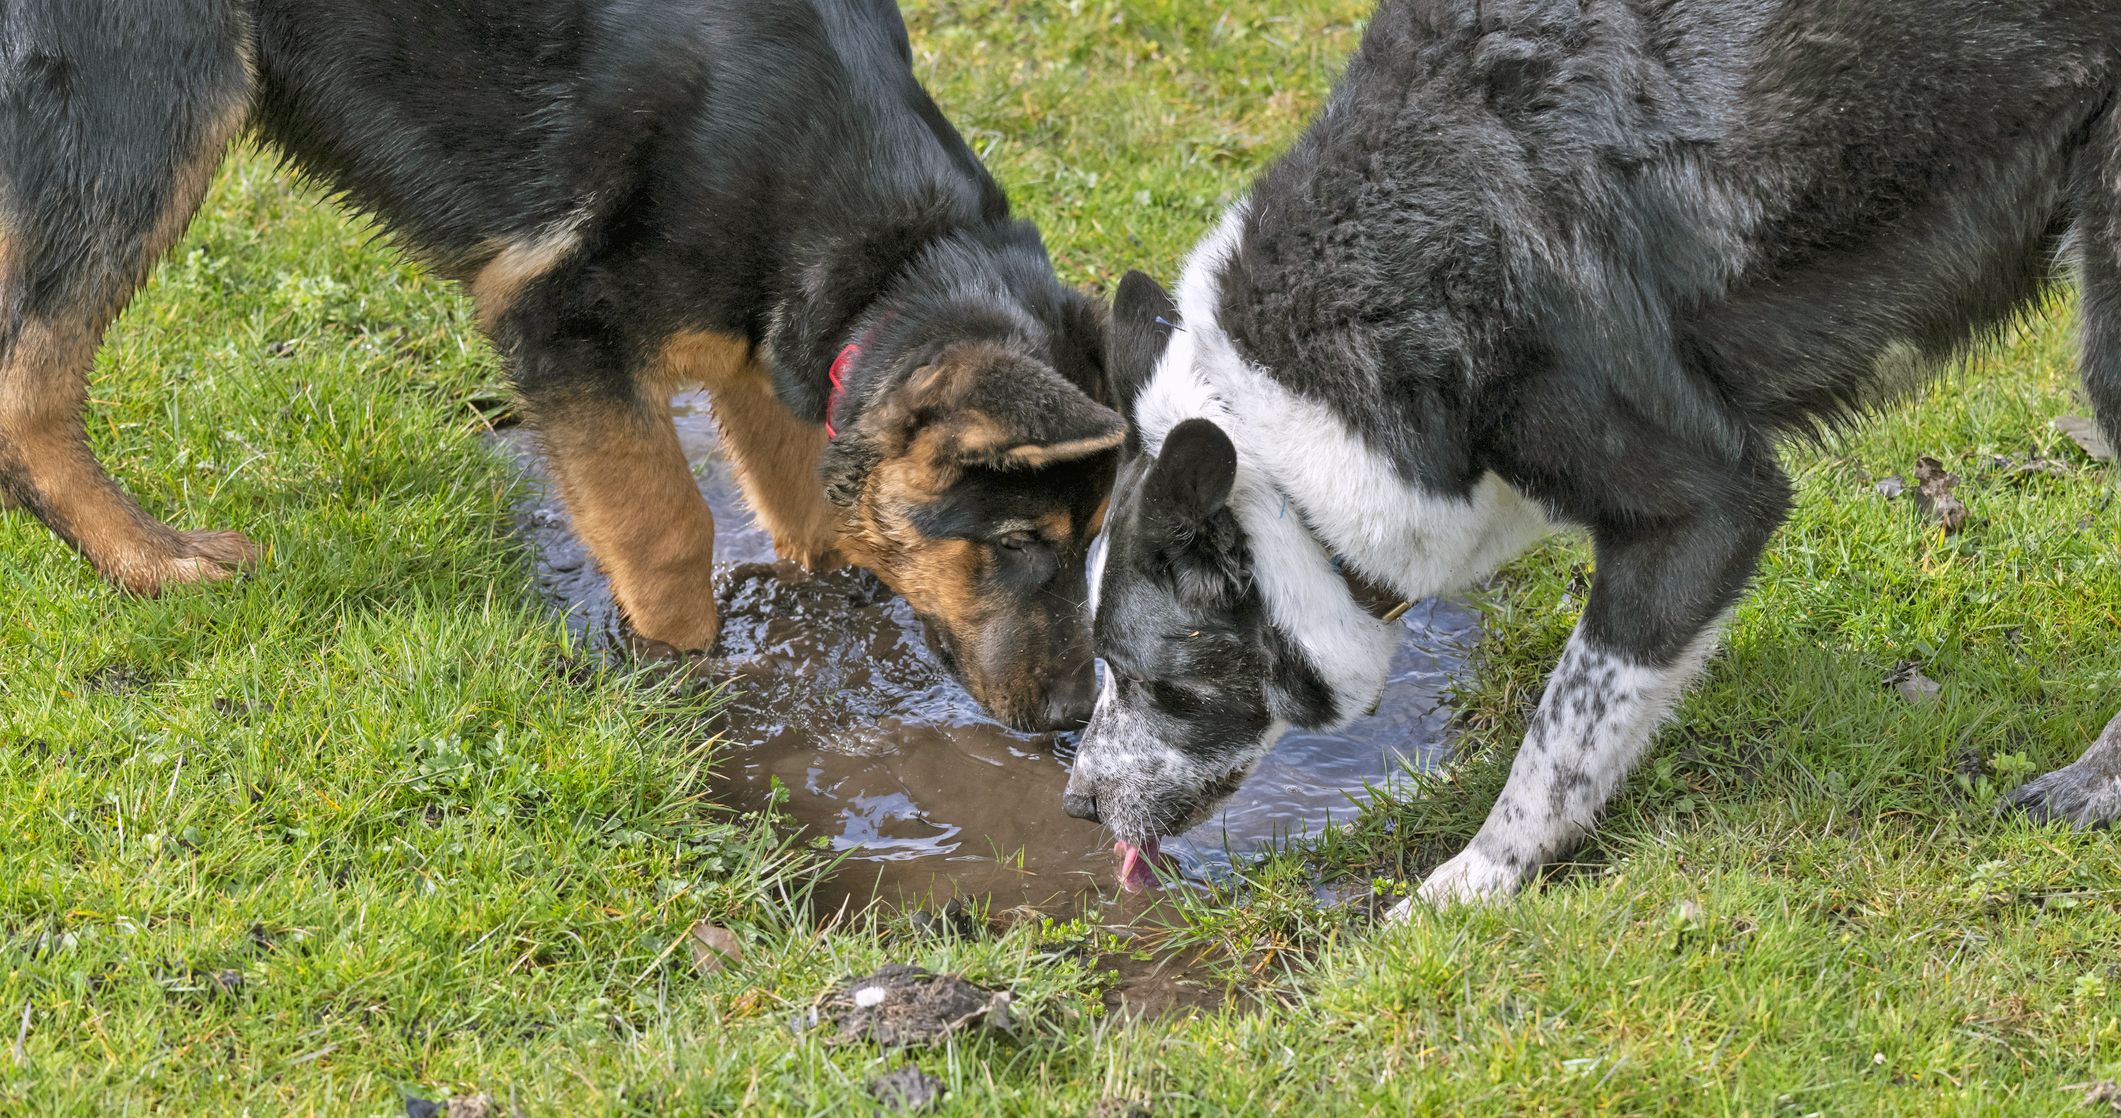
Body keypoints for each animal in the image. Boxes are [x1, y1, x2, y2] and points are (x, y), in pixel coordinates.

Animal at [0, 0, 1128, 729]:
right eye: (1017, 539)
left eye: (1093, 540)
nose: (1073, 720)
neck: (897, 248)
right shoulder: (561, 323)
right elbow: (668, 529)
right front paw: (684, 680)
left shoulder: (769, 353)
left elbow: (814, 514)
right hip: (148, 100)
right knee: (29, 387)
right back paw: (151, 560)